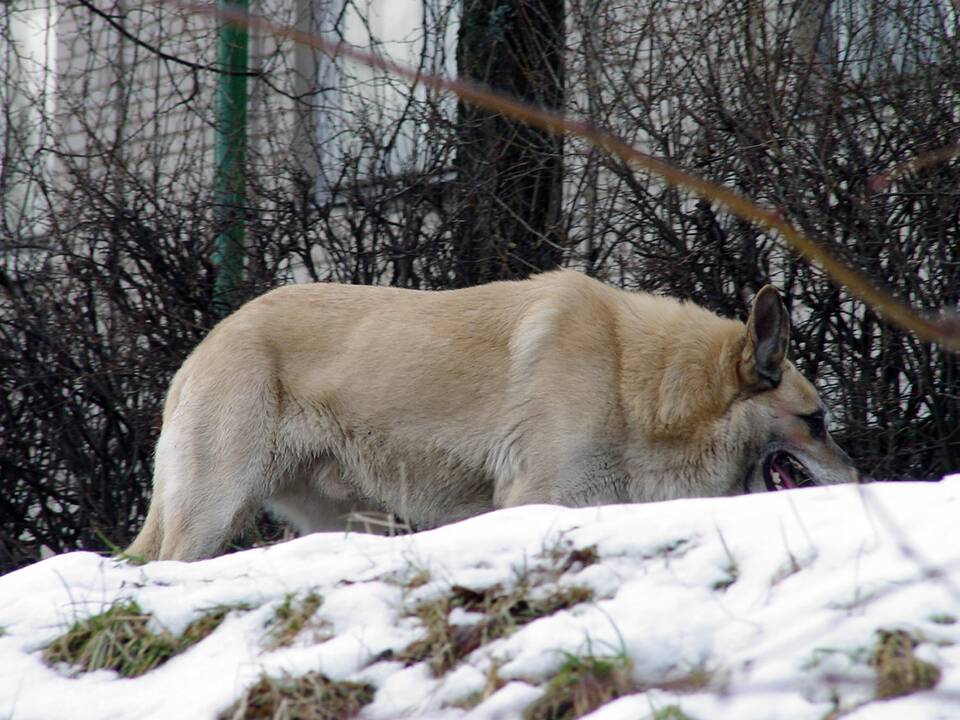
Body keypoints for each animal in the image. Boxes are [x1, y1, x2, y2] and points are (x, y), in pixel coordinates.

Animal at [125, 272, 856, 564]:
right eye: (816, 421)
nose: (860, 482)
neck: (641, 383)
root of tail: (202, 350)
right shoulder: (534, 500)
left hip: (353, 521)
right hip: (211, 516)